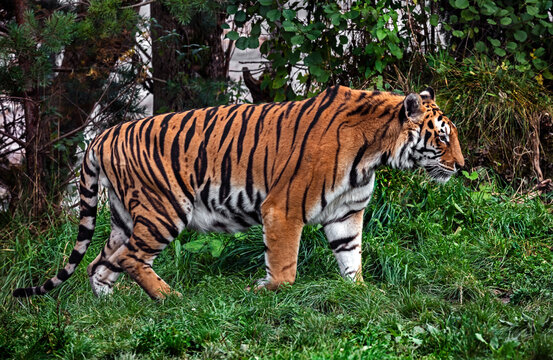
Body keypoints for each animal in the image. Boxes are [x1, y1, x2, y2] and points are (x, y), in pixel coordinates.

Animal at [11, 86, 462, 300]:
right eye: (441, 138)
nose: (461, 166)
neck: (375, 152)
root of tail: (100, 136)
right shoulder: (283, 208)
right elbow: (285, 267)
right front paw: (264, 291)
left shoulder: (345, 214)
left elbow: (351, 258)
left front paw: (361, 293)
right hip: (163, 210)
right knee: (129, 258)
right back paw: (171, 298)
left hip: (125, 215)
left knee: (100, 263)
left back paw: (113, 306)